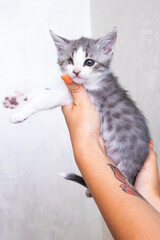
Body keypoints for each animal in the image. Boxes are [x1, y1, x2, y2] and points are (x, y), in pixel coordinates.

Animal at [3, 28, 150, 188]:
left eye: (89, 62)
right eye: (70, 61)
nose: (76, 71)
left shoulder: (75, 95)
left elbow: (43, 99)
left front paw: (20, 113)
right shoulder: (64, 88)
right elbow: (42, 91)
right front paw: (15, 98)